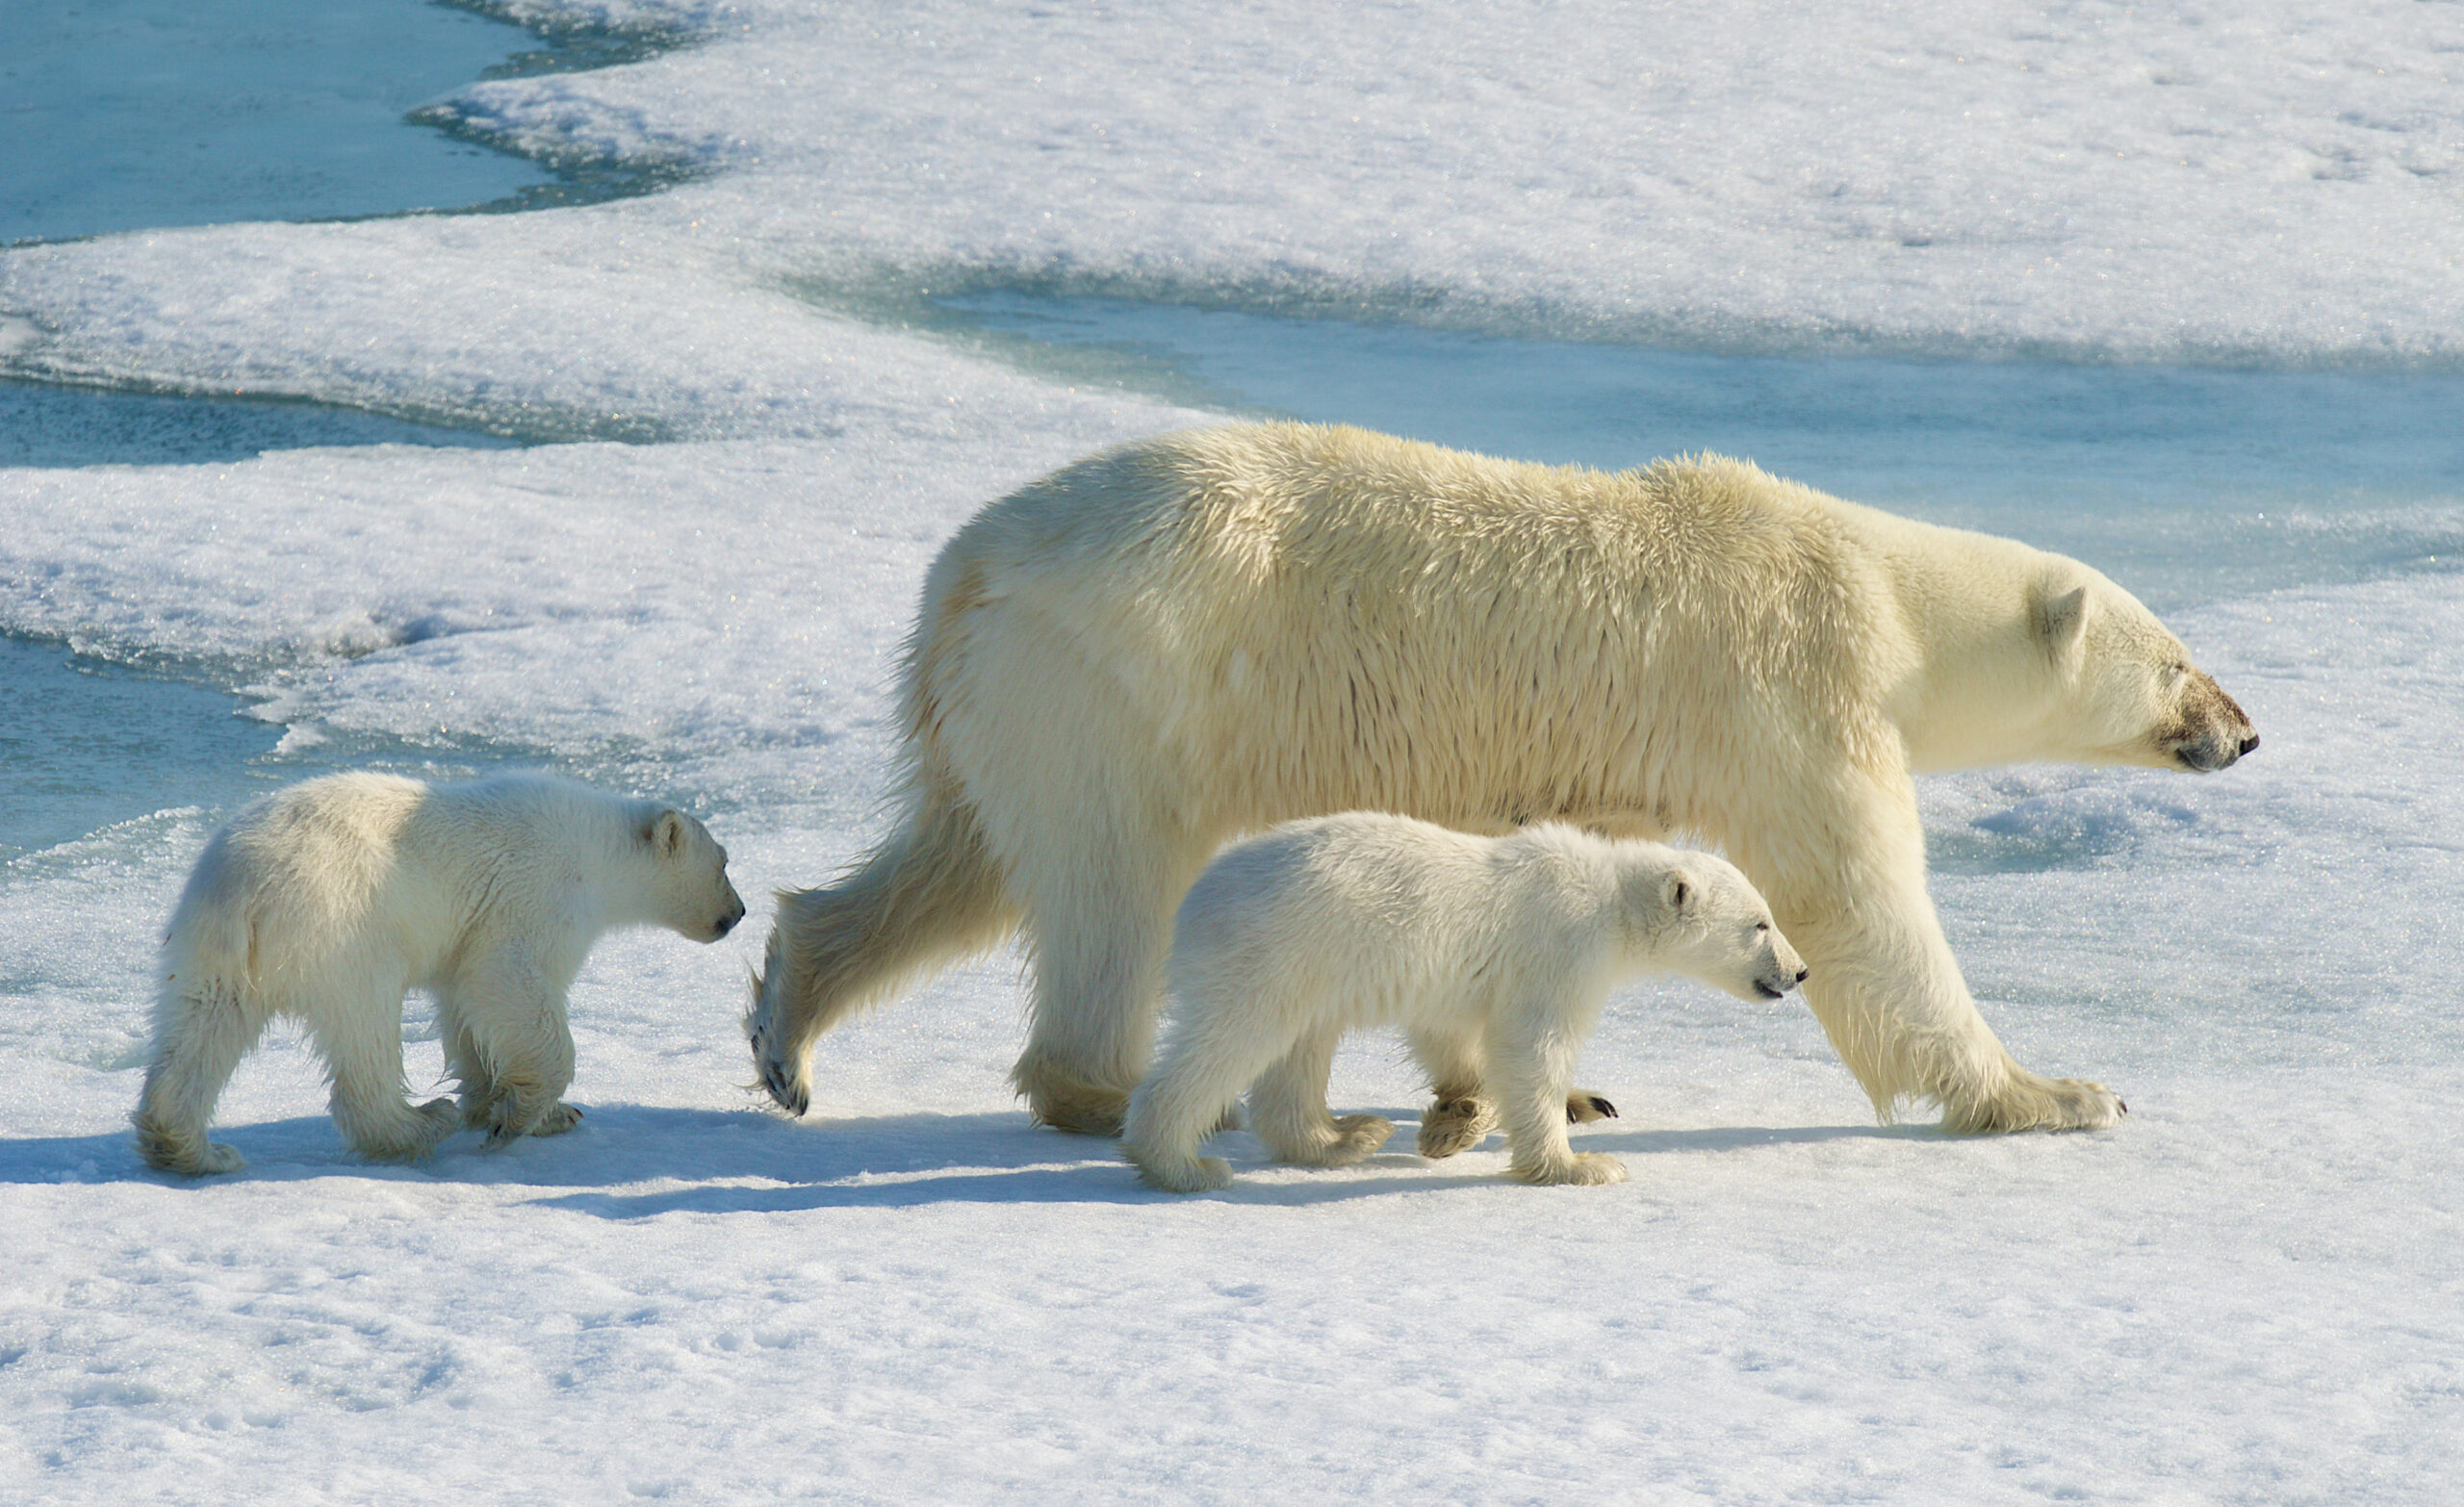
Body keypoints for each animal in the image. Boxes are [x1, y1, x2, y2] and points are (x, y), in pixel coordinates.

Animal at [744, 421, 2256, 1133]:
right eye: (2178, 660)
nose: (2243, 731)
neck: (1877, 591)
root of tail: (967, 567)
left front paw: (1552, 1089)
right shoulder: (1792, 694)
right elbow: (1864, 912)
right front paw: (2060, 1094)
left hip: (1010, 700)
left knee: (962, 858)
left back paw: (790, 1022)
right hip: (1127, 682)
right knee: (1110, 884)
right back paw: (1110, 1089)